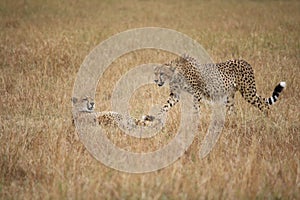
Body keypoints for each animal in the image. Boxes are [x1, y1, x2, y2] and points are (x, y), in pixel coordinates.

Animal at [143, 54, 286, 120]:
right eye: (155, 73)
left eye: (161, 73)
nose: (155, 80)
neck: (175, 72)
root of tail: (245, 62)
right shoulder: (176, 94)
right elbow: (165, 106)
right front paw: (154, 118)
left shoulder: (197, 92)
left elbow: (196, 108)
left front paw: (195, 122)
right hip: (229, 97)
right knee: (233, 111)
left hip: (248, 92)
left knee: (263, 104)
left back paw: (266, 120)